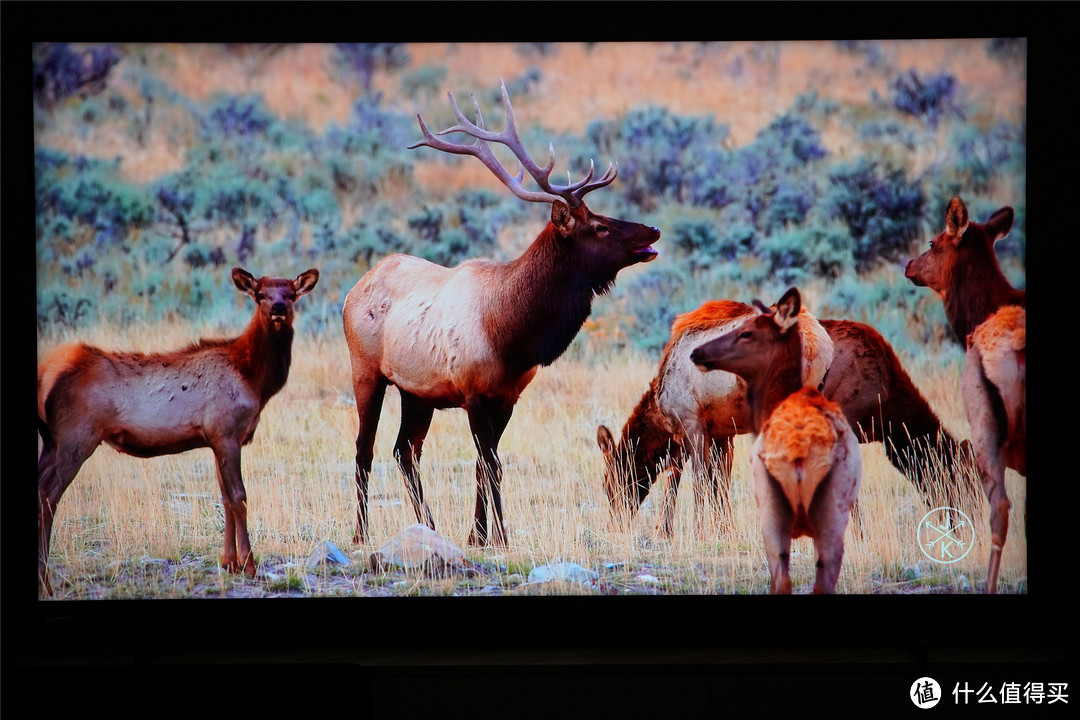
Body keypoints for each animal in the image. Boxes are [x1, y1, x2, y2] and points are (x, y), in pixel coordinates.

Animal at [34, 266, 319, 595]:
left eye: (291, 293)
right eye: (260, 294)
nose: (278, 307)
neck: (255, 380)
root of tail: (46, 374)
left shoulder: (215, 439)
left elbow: (224, 497)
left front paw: (228, 563)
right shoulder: (226, 432)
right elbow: (239, 496)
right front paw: (249, 566)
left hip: (52, 441)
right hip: (76, 438)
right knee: (49, 495)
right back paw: (46, 581)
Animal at [341, 80, 660, 546]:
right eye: (600, 226)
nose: (653, 229)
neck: (512, 334)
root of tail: (352, 291)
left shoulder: (508, 396)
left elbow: (483, 465)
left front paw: (478, 536)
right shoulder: (473, 392)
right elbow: (492, 465)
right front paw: (502, 537)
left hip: (417, 392)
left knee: (404, 452)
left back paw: (429, 526)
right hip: (367, 371)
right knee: (364, 450)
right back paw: (361, 533)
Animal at [596, 302, 976, 535]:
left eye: (608, 482)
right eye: (961, 477)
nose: (615, 521)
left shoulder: (692, 424)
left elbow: (696, 482)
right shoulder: (718, 431)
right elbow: (714, 483)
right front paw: (714, 530)